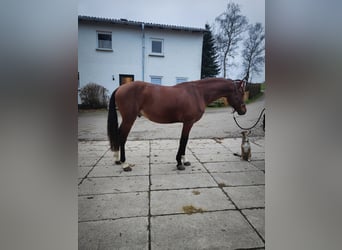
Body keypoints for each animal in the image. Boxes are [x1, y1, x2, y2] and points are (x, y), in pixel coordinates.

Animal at [107, 77, 246, 172]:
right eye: (241, 93)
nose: (244, 111)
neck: (198, 93)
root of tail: (120, 88)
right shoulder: (188, 122)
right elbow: (183, 140)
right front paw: (179, 163)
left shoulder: (188, 123)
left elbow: (186, 140)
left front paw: (185, 160)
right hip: (129, 119)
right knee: (122, 137)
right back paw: (125, 164)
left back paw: (117, 159)